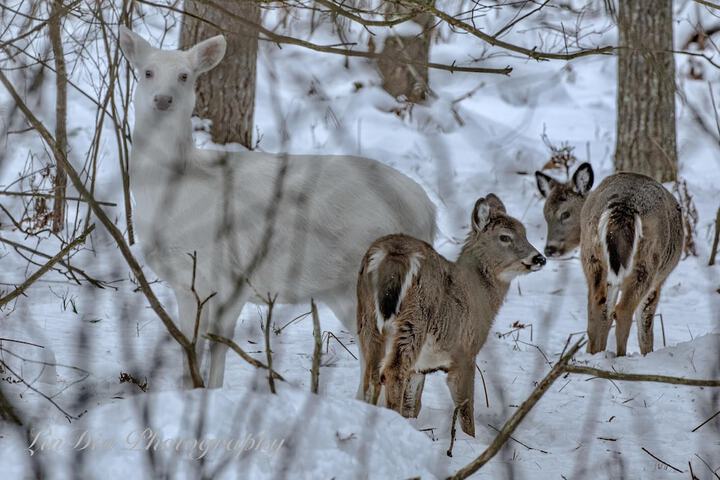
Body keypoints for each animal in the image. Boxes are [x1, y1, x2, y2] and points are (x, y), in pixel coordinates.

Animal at [118, 26, 436, 388]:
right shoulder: (185, 283)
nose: (162, 99)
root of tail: (427, 210)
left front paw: (213, 391)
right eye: (147, 72)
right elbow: (189, 344)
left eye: (184, 76)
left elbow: (218, 344)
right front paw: (190, 391)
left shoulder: (234, 272)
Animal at [358, 194, 544, 436]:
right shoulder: (465, 353)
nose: (540, 258)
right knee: (392, 372)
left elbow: (412, 405)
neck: (478, 295)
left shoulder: (420, 368)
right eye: (505, 237)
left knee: (371, 373)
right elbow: (465, 409)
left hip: (367, 316)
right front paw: (469, 439)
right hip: (414, 319)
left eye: (525, 233)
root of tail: (394, 252)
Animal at [536, 163, 684, 354]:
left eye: (565, 214)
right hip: (648, 261)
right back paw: (620, 356)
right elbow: (645, 326)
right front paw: (647, 354)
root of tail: (624, 205)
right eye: (546, 215)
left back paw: (592, 354)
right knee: (623, 311)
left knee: (597, 308)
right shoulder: (660, 280)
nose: (549, 249)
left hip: (592, 256)